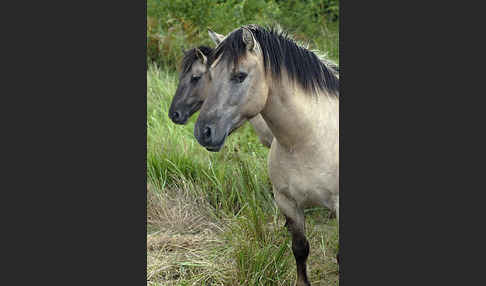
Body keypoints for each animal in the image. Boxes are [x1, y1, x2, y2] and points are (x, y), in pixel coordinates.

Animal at [193, 25, 338, 286]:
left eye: (240, 76)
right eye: (210, 75)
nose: (203, 132)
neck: (307, 141)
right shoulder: (287, 202)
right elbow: (300, 249)